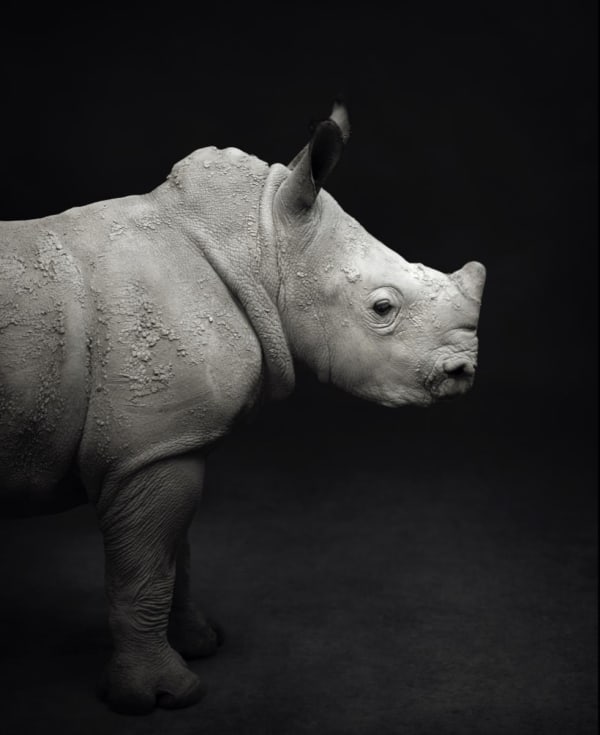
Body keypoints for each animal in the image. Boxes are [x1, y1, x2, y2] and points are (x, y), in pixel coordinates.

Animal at [0, 103, 486, 714]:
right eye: (382, 307)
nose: (464, 372)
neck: (262, 242)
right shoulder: (147, 447)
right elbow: (144, 571)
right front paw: (162, 696)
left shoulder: (166, 443)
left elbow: (171, 555)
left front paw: (199, 644)